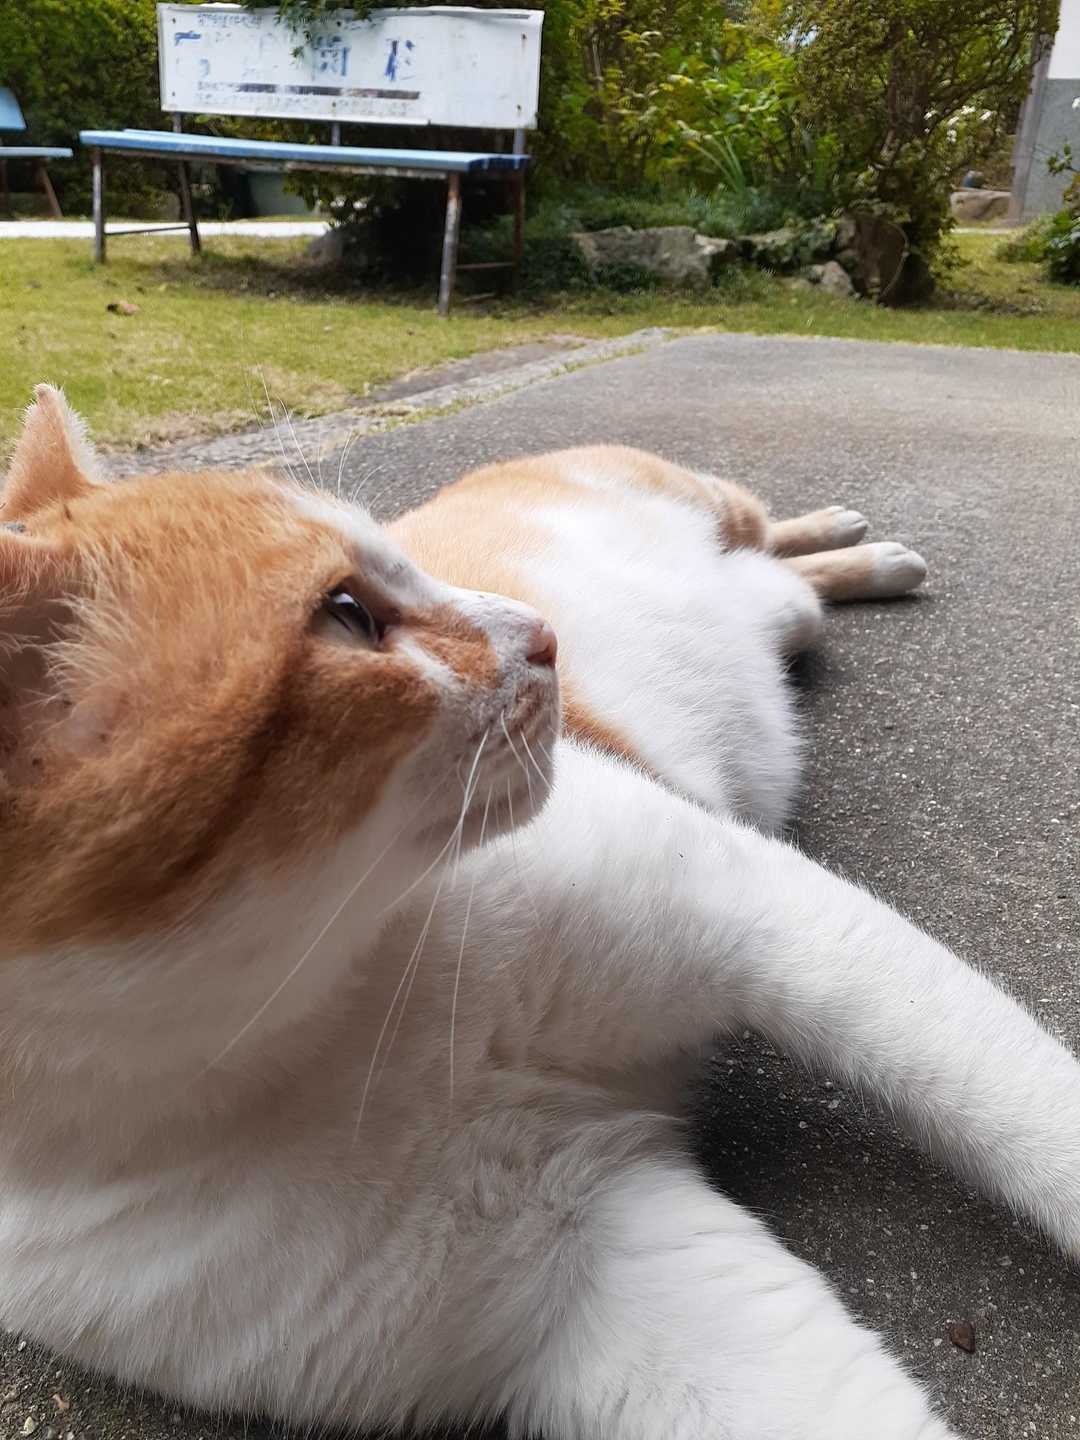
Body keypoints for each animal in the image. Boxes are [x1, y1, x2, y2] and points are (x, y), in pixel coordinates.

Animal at [2, 384, 1079, 1440]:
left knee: (768, 537)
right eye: (346, 613)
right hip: (772, 613)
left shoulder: (754, 912)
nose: (542, 634)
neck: (317, 1028)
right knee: (785, 591)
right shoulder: (603, 1256)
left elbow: (1027, 1112)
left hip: (700, 500)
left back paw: (862, 544)